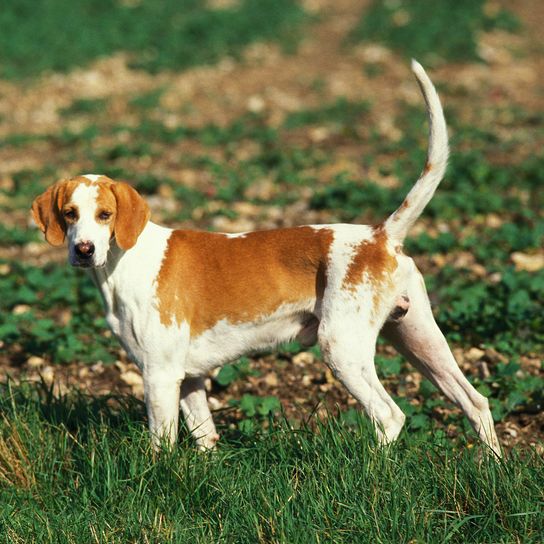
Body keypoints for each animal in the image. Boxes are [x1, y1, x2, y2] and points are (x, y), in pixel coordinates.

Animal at [31, 61, 502, 456]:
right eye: (69, 214)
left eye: (105, 215)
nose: (84, 250)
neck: (125, 264)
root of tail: (380, 235)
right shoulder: (190, 382)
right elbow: (206, 441)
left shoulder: (161, 377)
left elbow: (160, 449)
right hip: (420, 339)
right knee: (475, 402)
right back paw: (490, 468)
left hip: (343, 349)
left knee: (390, 415)